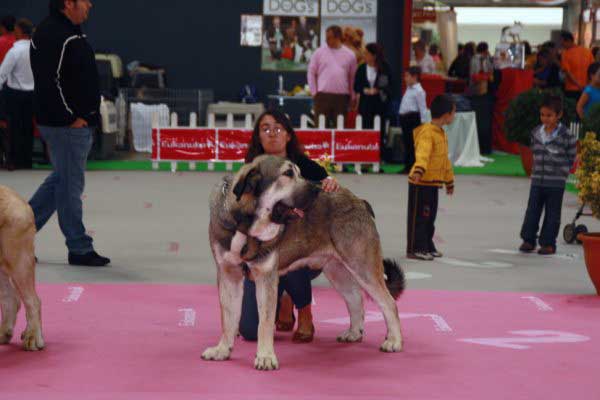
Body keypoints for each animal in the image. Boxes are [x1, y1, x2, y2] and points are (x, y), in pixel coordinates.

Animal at [204, 155, 406, 370]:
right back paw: (354, 333)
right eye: (287, 174)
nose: (316, 189)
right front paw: (222, 350)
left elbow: (264, 322)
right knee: (355, 299)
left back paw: (394, 341)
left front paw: (265, 356)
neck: (243, 222)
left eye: (300, 172)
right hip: (336, 270)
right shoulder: (228, 275)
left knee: (388, 303)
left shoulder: (266, 277)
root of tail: (359, 201)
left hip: (361, 265)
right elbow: (228, 317)